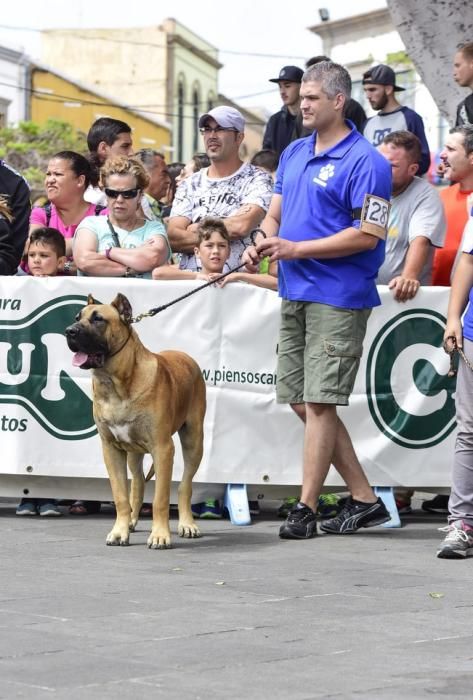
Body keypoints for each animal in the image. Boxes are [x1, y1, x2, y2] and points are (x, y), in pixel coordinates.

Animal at [65, 292, 206, 548]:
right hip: (133, 451)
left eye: (98, 319)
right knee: (138, 482)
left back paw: (187, 524)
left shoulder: (163, 448)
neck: (115, 383)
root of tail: (185, 355)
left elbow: (161, 498)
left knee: (185, 485)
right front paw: (120, 530)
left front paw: (160, 535)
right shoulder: (111, 448)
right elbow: (121, 494)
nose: (69, 331)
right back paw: (131, 520)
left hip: (194, 439)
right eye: (77, 317)